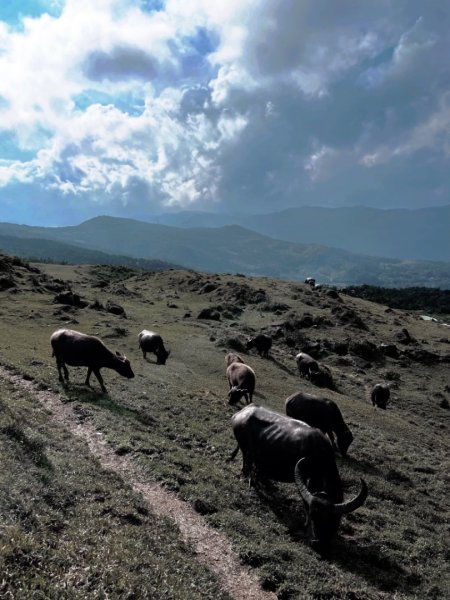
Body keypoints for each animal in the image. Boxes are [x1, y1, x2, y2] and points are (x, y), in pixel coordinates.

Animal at [230, 406, 368, 552]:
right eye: (312, 516)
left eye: (329, 520)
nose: (316, 542)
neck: (318, 458)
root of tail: (241, 413)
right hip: (246, 449)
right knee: (247, 462)